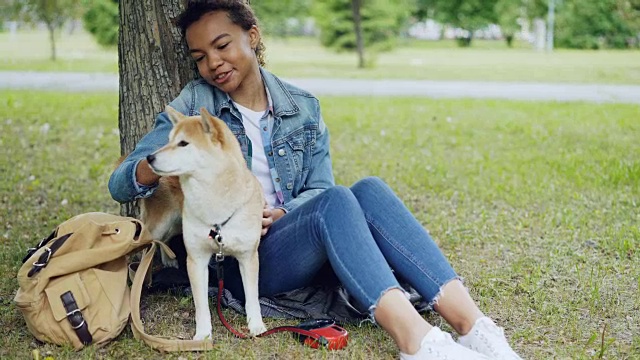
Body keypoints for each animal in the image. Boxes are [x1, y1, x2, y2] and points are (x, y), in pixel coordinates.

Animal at [143, 105, 268, 338]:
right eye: (169, 140)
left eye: (183, 143)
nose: (149, 158)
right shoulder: (197, 259)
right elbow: (201, 305)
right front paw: (202, 335)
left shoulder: (248, 256)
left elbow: (252, 297)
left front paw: (256, 325)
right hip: (160, 225)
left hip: (176, 224)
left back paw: (169, 259)